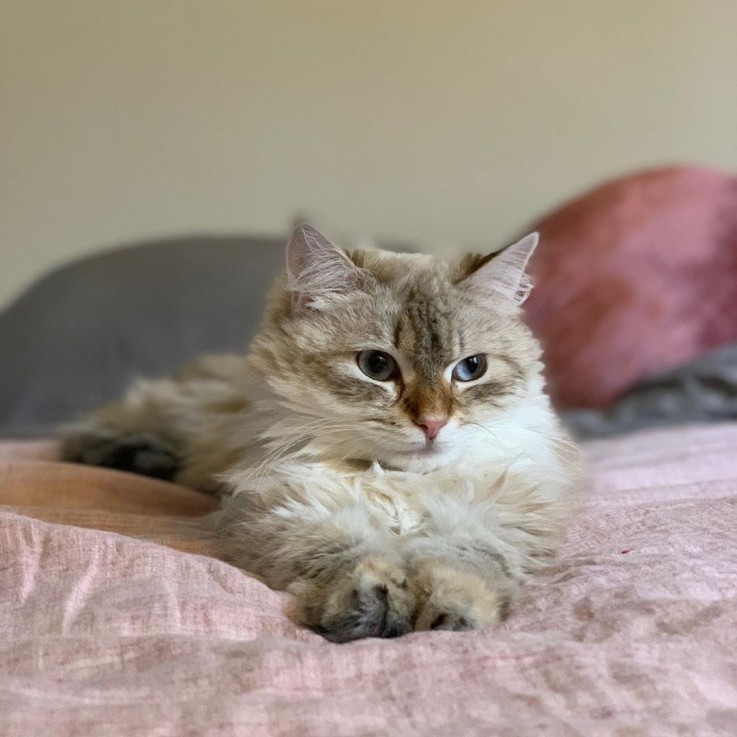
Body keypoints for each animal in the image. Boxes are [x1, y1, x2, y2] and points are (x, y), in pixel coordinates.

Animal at [61, 224, 580, 640]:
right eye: (376, 366)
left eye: (471, 369)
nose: (432, 423)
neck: (397, 481)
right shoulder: (285, 511)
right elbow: (346, 554)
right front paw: (373, 603)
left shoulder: (498, 515)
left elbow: (461, 561)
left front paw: (449, 610)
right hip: (182, 413)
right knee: (97, 426)